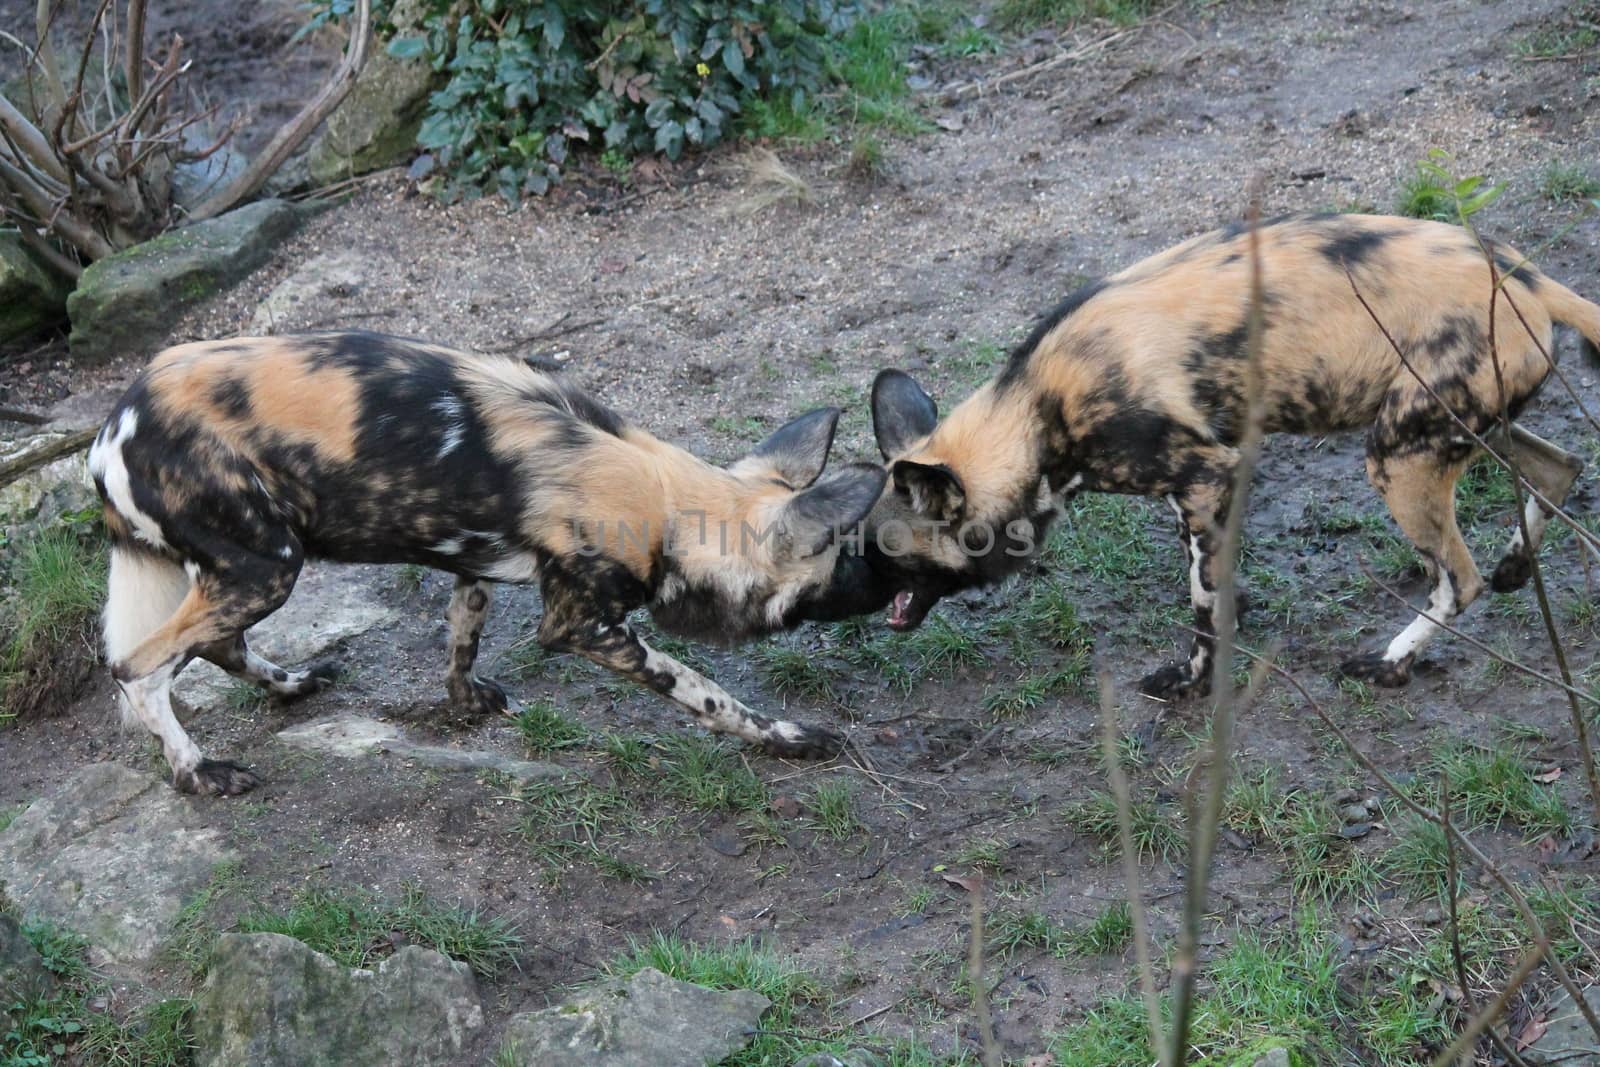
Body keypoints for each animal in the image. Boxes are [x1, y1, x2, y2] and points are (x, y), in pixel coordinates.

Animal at [87, 331, 889, 793]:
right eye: (846, 564)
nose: (886, 596)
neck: (663, 500)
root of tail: (113, 425)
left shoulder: (474, 566)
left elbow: (460, 640)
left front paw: (465, 703)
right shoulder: (583, 627)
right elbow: (707, 692)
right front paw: (790, 739)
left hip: (249, 570)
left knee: (215, 644)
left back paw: (294, 684)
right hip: (269, 568)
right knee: (137, 669)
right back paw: (198, 772)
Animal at [870, 217, 1593, 700]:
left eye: (883, 553)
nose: (873, 609)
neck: (1036, 409)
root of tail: (1525, 274)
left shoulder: (1204, 472)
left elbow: (1200, 604)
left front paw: (1193, 681)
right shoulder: (1204, 481)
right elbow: (1212, 576)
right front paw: (1235, 615)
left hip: (1397, 456)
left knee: (1460, 580)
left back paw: (1390, 663)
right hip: (1465, 429)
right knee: (1564, 467)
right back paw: (1514, 565)